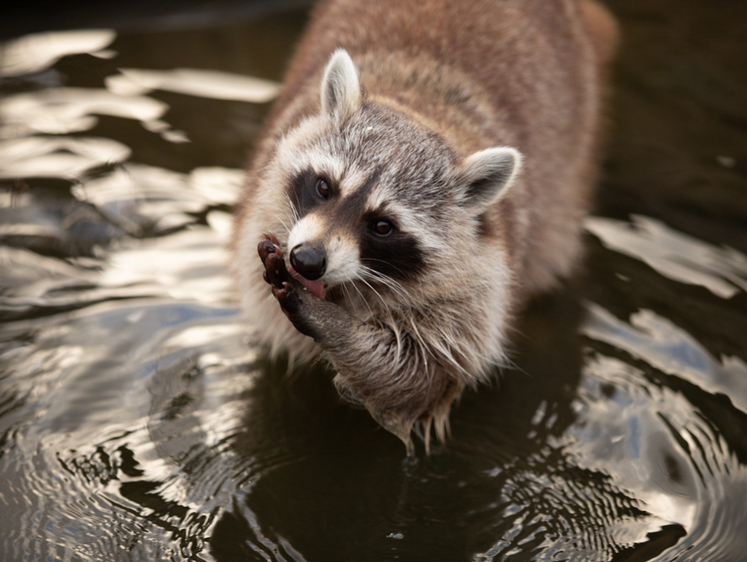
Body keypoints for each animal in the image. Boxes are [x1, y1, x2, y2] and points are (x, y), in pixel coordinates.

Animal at [231, 0, 616, 450]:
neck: (423, 109)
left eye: (382, 226)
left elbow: (422, 377)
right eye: (324, 187)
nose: (307, 260)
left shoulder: (481, 280)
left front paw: (332, 325)